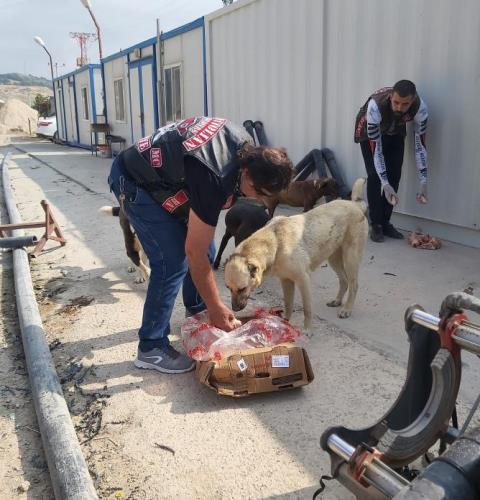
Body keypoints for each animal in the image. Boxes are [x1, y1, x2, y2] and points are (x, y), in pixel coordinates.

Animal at [225, 179, 368, 328]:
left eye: (242, 289)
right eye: (228, 287)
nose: (234, 309)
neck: (275, 243)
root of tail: (354, 204)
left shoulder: (303, 280)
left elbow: (307, 309)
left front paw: (307, 330)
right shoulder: (286, 280)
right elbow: (288, 304)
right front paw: (284, 323)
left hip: (350, 258)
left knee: (354, 285)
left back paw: (347, 309)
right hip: (333, 258)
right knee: (344, 280)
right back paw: (338, 301)